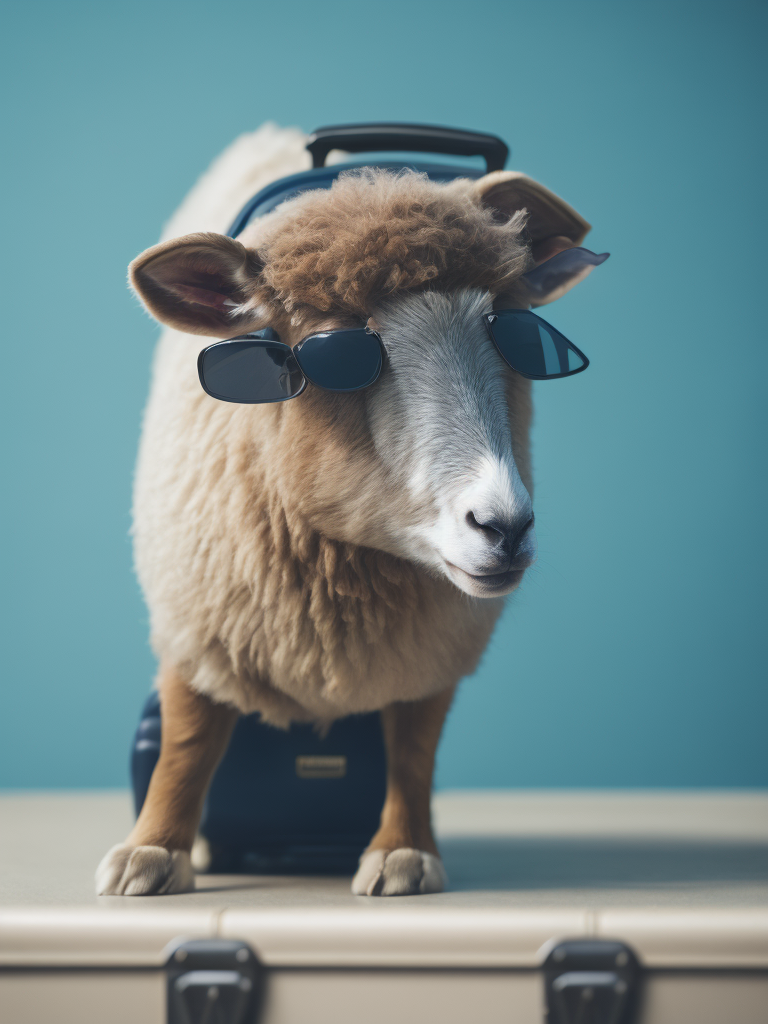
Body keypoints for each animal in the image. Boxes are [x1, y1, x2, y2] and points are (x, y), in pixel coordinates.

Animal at [96, 121, 606, 897]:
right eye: (336, 355)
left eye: (513, 333)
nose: (505, 525)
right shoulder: (198, 609)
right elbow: (186, 734)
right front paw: (152, 852)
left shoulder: (438, 639)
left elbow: (415, 746)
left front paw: (403, 852)